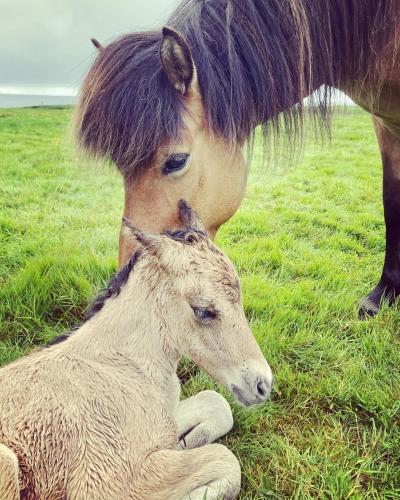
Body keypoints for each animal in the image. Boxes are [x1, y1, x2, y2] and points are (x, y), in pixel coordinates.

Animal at [0, 201, 272, 498]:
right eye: (203, 310)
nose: (263, 384)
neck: (123, 366)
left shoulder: (162, 422)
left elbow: (216, 403)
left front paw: (186, 441)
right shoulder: (105, 484)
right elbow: (225, 459)